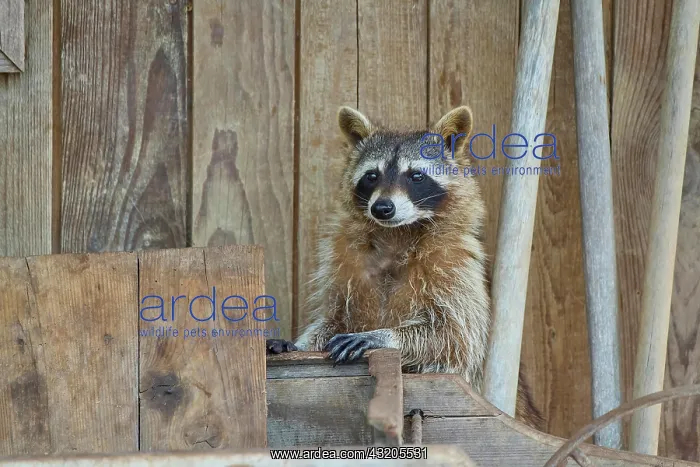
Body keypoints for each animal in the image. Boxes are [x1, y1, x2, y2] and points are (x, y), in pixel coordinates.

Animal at [268, 105, 544, 429]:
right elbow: (333, 319)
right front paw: (300, 344)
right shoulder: (341, 258)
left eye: (416, 176)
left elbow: (457, 339)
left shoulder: (458, 265)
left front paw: (387, 335)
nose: (382, 208)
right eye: (371, 176)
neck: (396, 235)